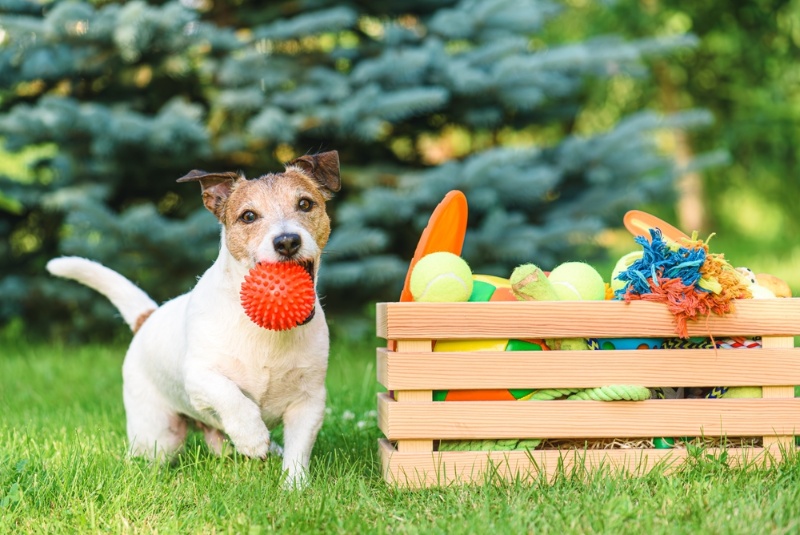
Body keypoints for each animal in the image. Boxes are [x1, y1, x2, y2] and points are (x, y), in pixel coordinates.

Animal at [46, 152, 340, 490]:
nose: (287, 241)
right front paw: (251, 436)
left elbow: (298, 452)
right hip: (158, 434)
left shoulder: (310, 402)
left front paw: (295, 488)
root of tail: (148, 318)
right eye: (248, 216)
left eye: (305, 204)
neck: (266, 331)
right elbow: (229, 394)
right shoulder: (199, 377)